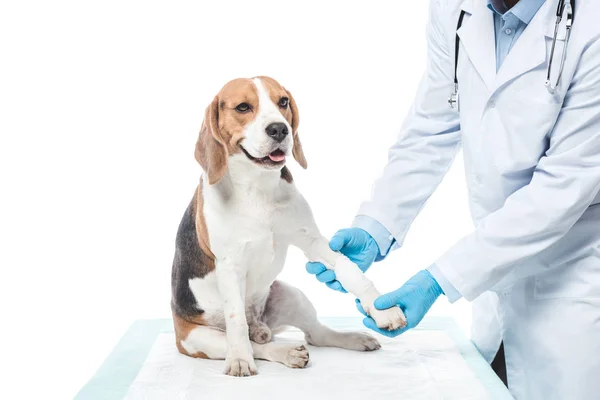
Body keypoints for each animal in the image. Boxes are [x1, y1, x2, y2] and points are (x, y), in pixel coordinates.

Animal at [173, 76, 408, 376]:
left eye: (282, 101)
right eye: (243, 107)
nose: (279, 129)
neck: (258, 187)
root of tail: (261, 326)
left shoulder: (313, 240)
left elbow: (349, 271)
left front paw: (382, 310)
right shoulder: (230, 266)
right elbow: (236, 320)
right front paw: (239, 360)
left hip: (291, 295)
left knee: (315, 334)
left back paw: (353, 339)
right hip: (199, 337)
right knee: (255, 344)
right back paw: (281, 352)